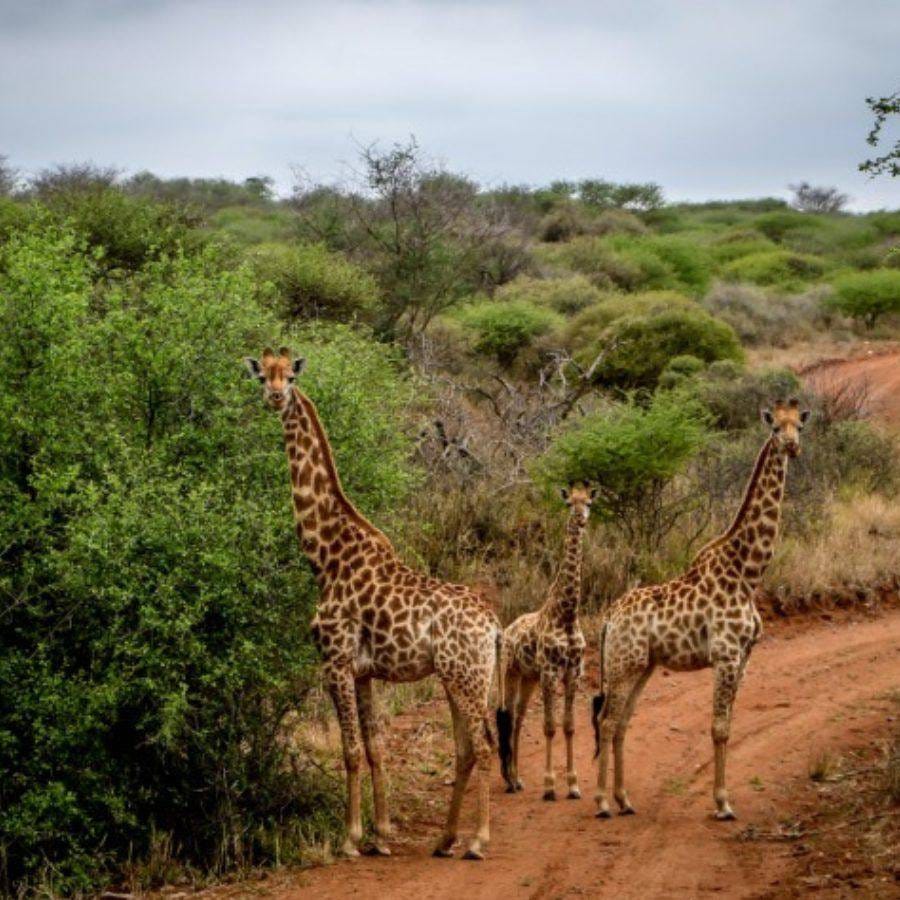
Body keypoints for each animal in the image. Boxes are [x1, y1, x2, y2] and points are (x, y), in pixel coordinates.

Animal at [244, 347, 504, 860]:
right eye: (263, 376)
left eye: (288, 377)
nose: (276, 397)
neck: (325, 556)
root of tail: (494, 624)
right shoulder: (364, 671)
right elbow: (375, 746)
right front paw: (381, 835)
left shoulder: (335, 662)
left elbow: (349, 751)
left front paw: (349, 838)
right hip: (463, 677)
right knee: (467, 748)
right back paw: (445, 839)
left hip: (465, 676)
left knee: (483, 745)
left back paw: (478, 841)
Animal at [497, 483, 594, 801]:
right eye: (569, 503)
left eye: (589, 503)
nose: (581, 519)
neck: (567, 613)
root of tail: (507, 630)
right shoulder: (551, 672)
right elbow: (549, 727)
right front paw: (550, 785)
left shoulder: (573, 672)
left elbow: (569, 726)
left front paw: (573, 784)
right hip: (510, 673)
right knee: (507, 715)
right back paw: (510, 779)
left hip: (529, 677)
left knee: (517, 718)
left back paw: (516, 779)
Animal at [592, 398, 810, 821]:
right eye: (775, 427)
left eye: (800, 426)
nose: (793, 447)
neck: (749, 573)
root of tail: (609, 619)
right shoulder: (725, 655)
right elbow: (719, 727)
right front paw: (723, 803)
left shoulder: (744, 656)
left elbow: (729, 724)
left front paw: (724, 798)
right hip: (623, 663)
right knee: (607, 721)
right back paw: (603, 802)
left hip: (642, 665)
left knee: (622, 721)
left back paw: (625, 799)